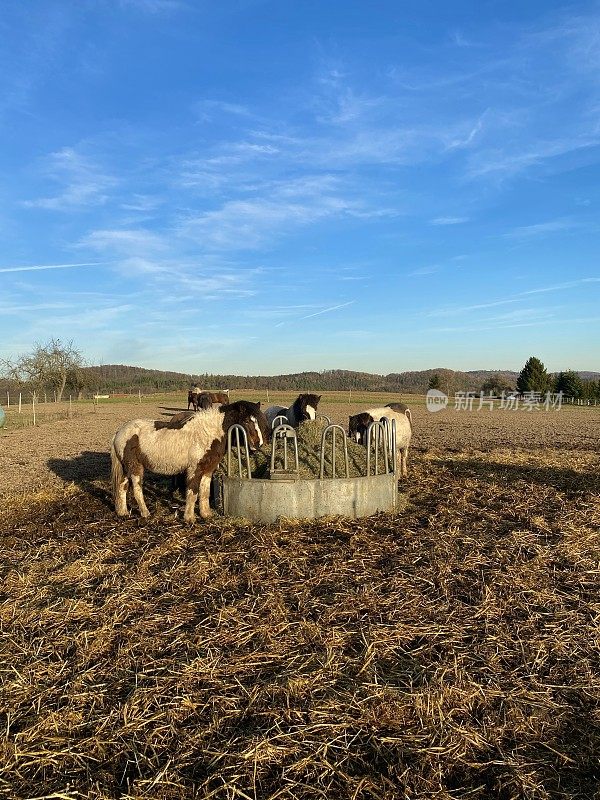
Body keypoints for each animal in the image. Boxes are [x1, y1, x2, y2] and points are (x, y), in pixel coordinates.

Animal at [110, 400, 270, 524]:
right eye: (247, 421)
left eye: (260, 421)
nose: (259, 444)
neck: (208, 433)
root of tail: (119, 432)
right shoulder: (195, 469)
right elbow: (193, 493)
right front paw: (189, 518)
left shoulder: (208, 470)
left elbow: (204, 493)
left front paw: (206, 515)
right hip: (135, 467)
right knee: (137, 490)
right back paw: (145, 513)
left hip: (126, 468)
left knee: (122, 487)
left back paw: (123, 513)